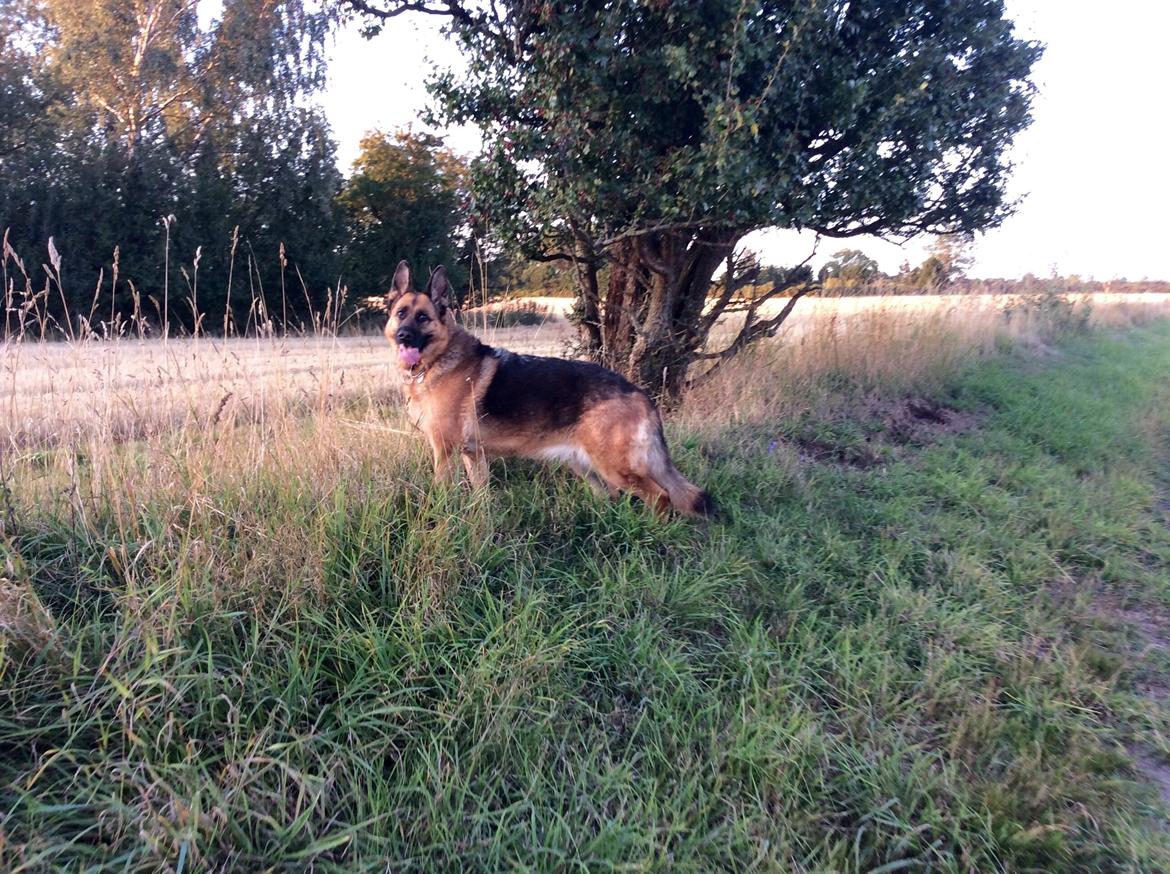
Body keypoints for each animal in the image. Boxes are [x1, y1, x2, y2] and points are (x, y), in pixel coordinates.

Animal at [383, 259, 711, 519]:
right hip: (586, 465)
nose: (403, 336)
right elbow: (481, 494)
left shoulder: (445, 452)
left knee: (661, 497)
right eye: (401, 314)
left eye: (422, 317)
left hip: (615, 467)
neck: (438, 359)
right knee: (612, 496)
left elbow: (442, 492)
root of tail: (639, 393)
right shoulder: (473, 456)